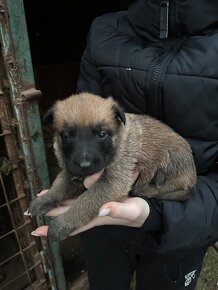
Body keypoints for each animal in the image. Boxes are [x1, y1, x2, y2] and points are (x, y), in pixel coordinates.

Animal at [28, 92, 197, 240]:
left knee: (173, 188)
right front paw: (45, 198)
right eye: (66, 136)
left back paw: (144, 190)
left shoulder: (113, 181)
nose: (84, 165)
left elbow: (86, 200)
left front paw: (64, 222)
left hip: (170, 159)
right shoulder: (70, 170)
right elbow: (59, 185)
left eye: (102, 134)